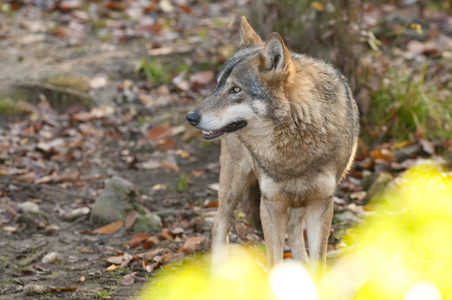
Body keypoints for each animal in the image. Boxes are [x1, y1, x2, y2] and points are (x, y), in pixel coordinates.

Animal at [185, 17, 358, 274]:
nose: (191, 117)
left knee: (295, 231)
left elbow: (319, 259)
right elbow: (274, 260)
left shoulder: (321, 203)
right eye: (217, 86)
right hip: (234, 182)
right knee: (219, 224)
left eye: (236, 89)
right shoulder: (270, 204)